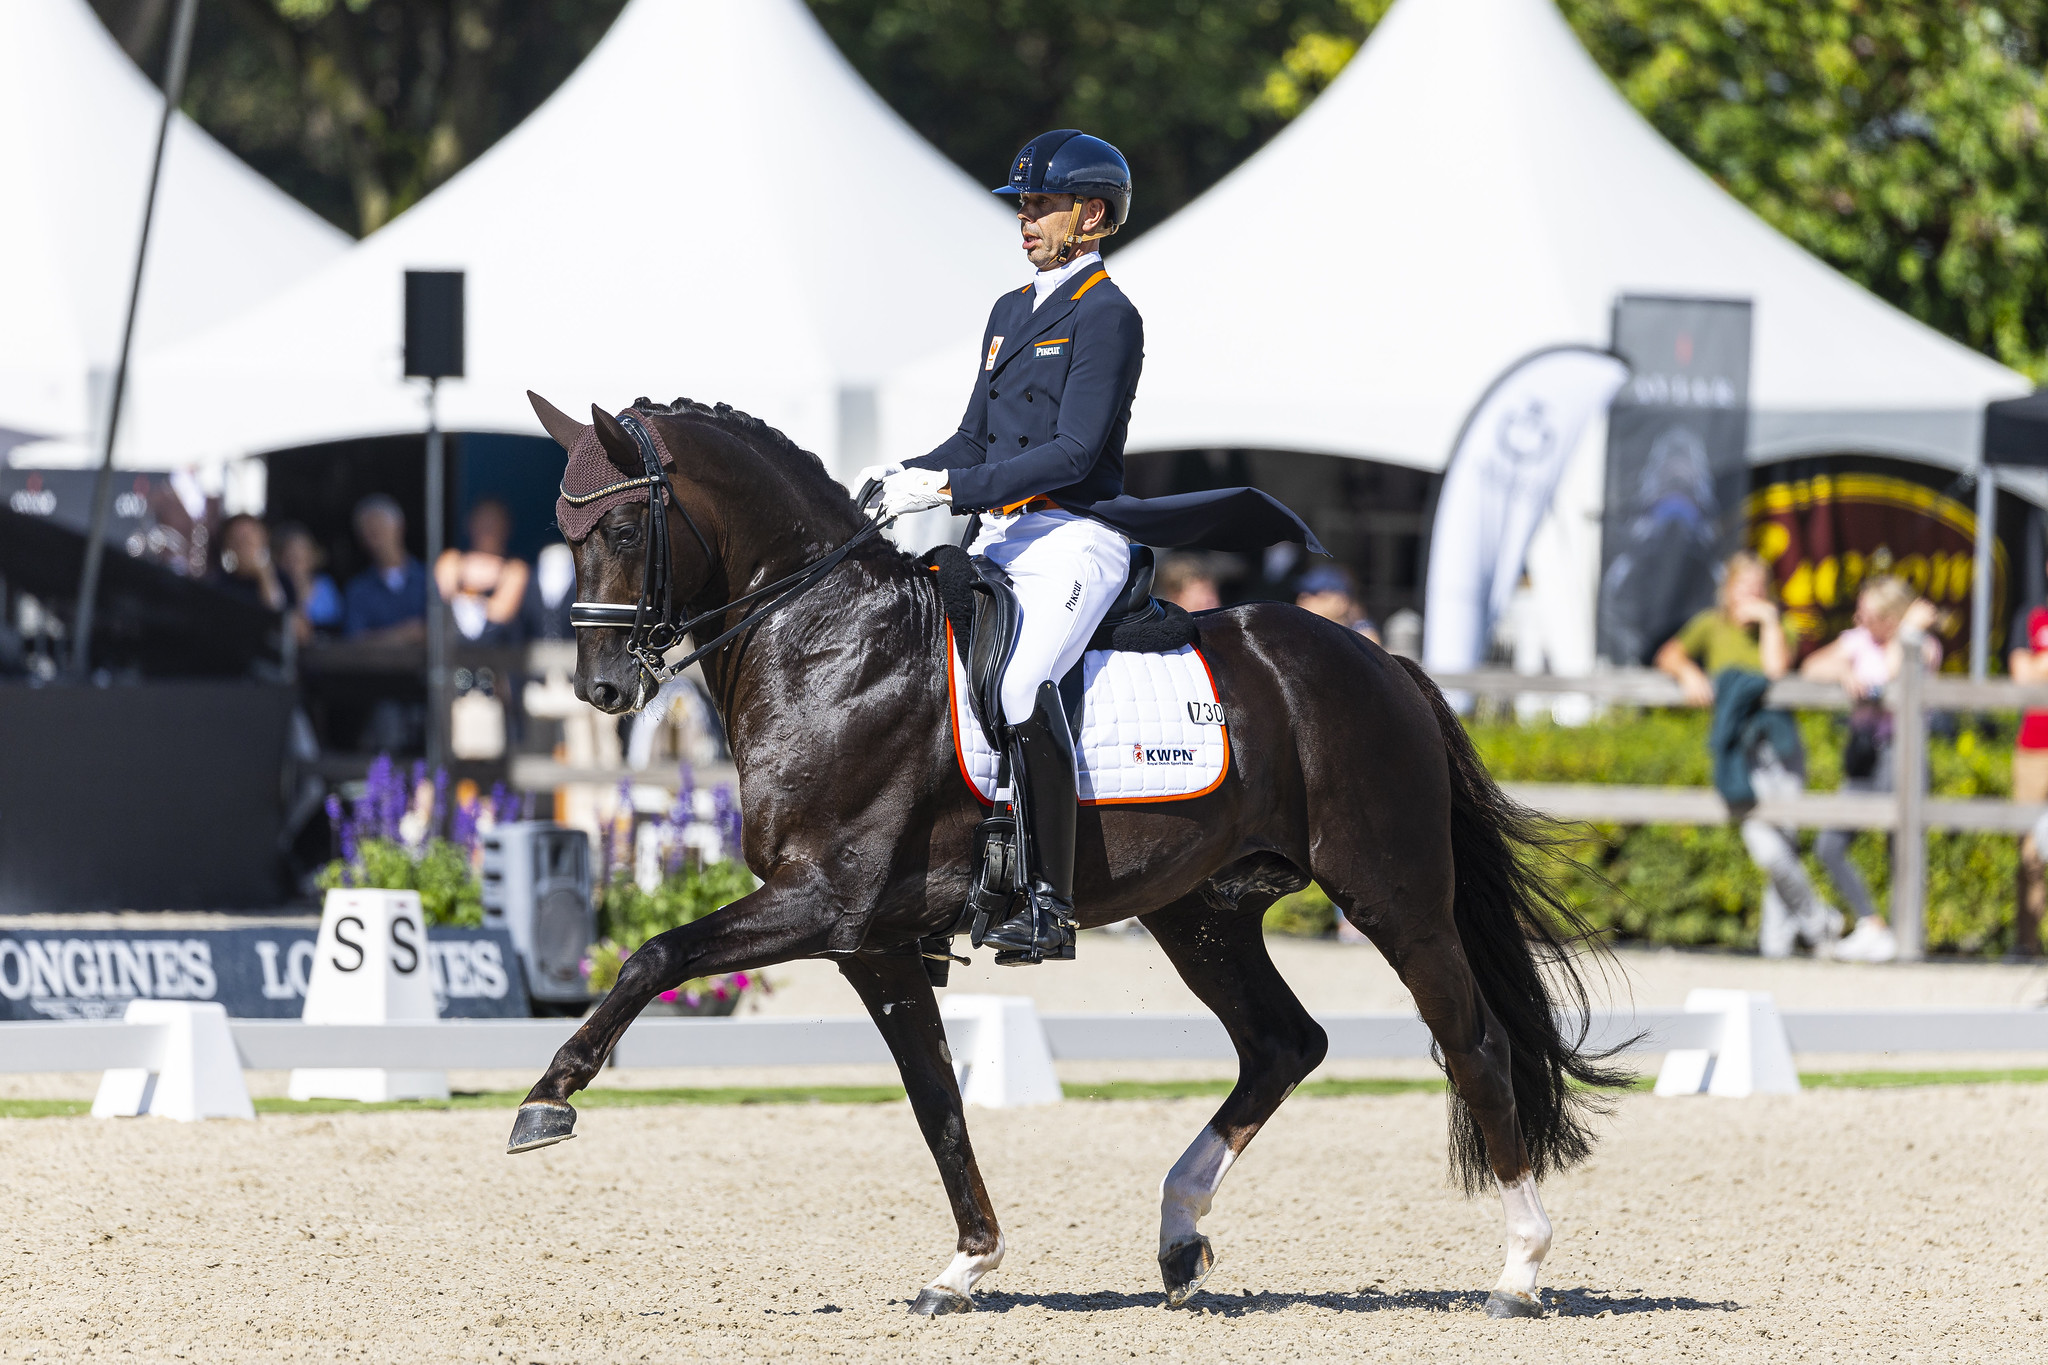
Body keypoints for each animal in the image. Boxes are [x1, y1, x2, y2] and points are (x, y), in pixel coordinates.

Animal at [507, 401, 1613, 1317]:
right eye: (564, 536)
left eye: (621, 530)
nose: (601, 688)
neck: (829, 644)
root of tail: (1379, 658)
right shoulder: (872, 941)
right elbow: (938, 1101)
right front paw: (967, 1263)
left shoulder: (825, 901)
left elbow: (654, 954)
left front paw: (547, 1099)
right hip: (1201, 913)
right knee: (1283, 1044)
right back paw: (1178, 1237)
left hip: (1392, 895)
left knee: (1472, 1044)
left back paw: (1519, 1269)